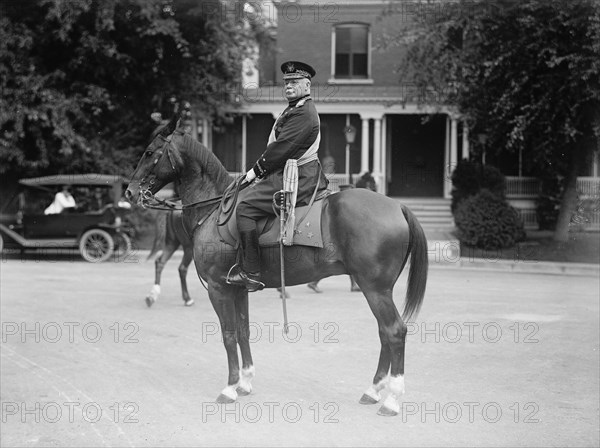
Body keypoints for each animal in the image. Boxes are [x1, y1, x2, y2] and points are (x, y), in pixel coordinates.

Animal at [125, 119, 426, 416]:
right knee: (384, 333)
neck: (214, 210)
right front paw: (245, 381)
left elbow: (228, 335)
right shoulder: (238, 289)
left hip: (375, 289)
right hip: (378, 290)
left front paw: (229, 387)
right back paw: (373, 390)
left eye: (150, 152)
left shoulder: (218, 288)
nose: (130, 191)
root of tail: (397, 206)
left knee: (394, 331)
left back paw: (391, 399)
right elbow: (243, 331)